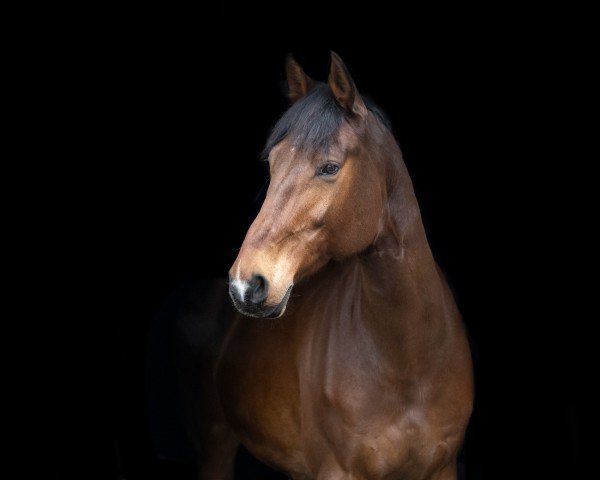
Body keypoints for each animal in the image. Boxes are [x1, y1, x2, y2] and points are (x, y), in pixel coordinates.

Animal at [197, 52, 474, 480]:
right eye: (272, 163)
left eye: (329, 167)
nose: (246, 285)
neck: (408, 360)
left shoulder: (442, 468)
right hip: (215, 444)